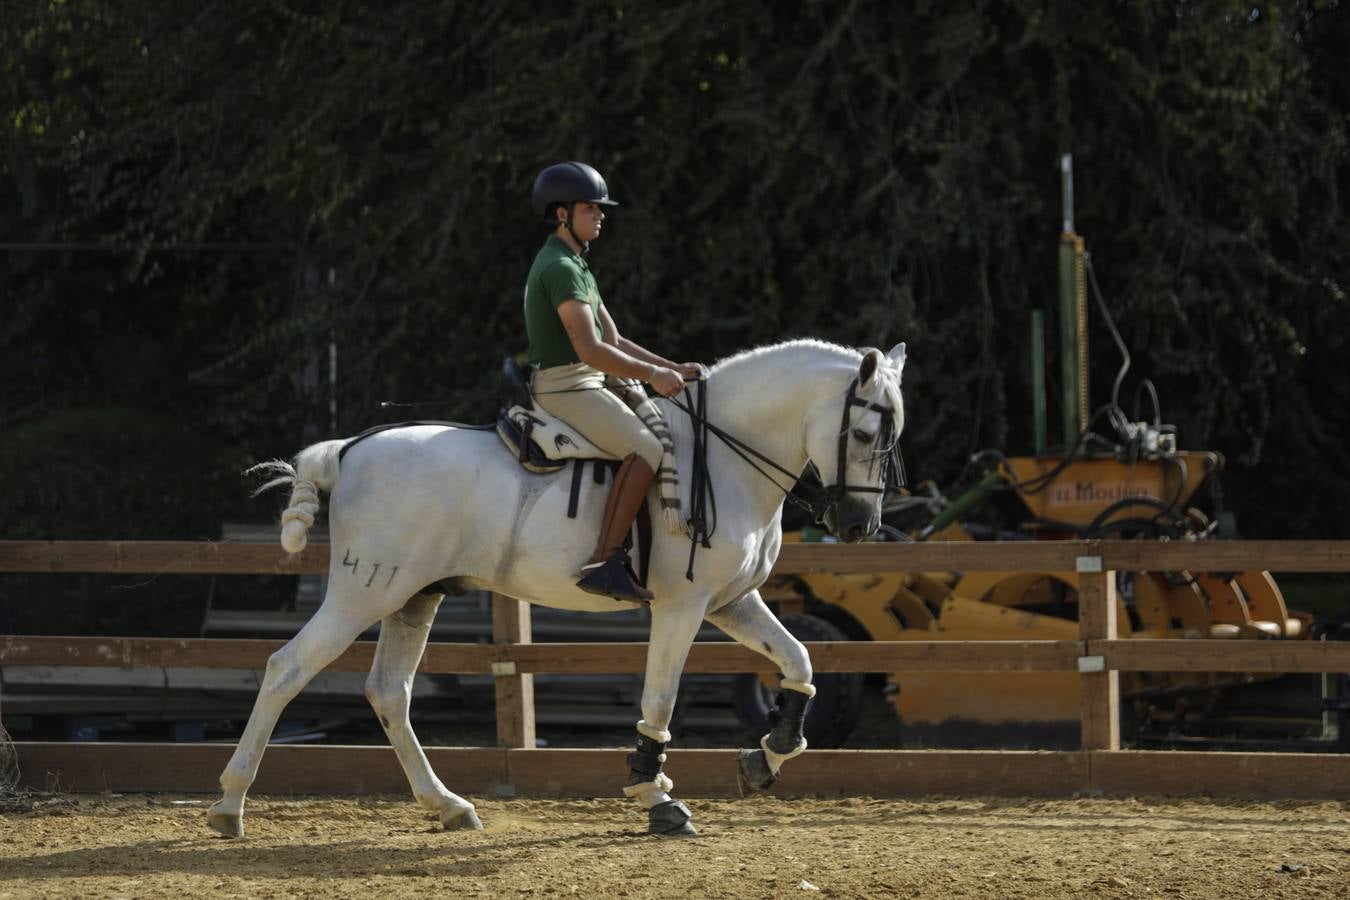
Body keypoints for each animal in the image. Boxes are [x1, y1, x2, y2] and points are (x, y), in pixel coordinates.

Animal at [207, 338, 907, 838]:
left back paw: (448, 805)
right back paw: (229, 805)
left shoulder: (733, 602)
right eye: (864, 434)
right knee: (287, 668)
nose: (859, 525)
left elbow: (800, 661)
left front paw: (768, 755)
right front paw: (655, 797)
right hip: (363, 595)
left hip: (414, 598)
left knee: (389, 692)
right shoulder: (682, 607)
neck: (724, 458)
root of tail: (349, 450)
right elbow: (659, 699)